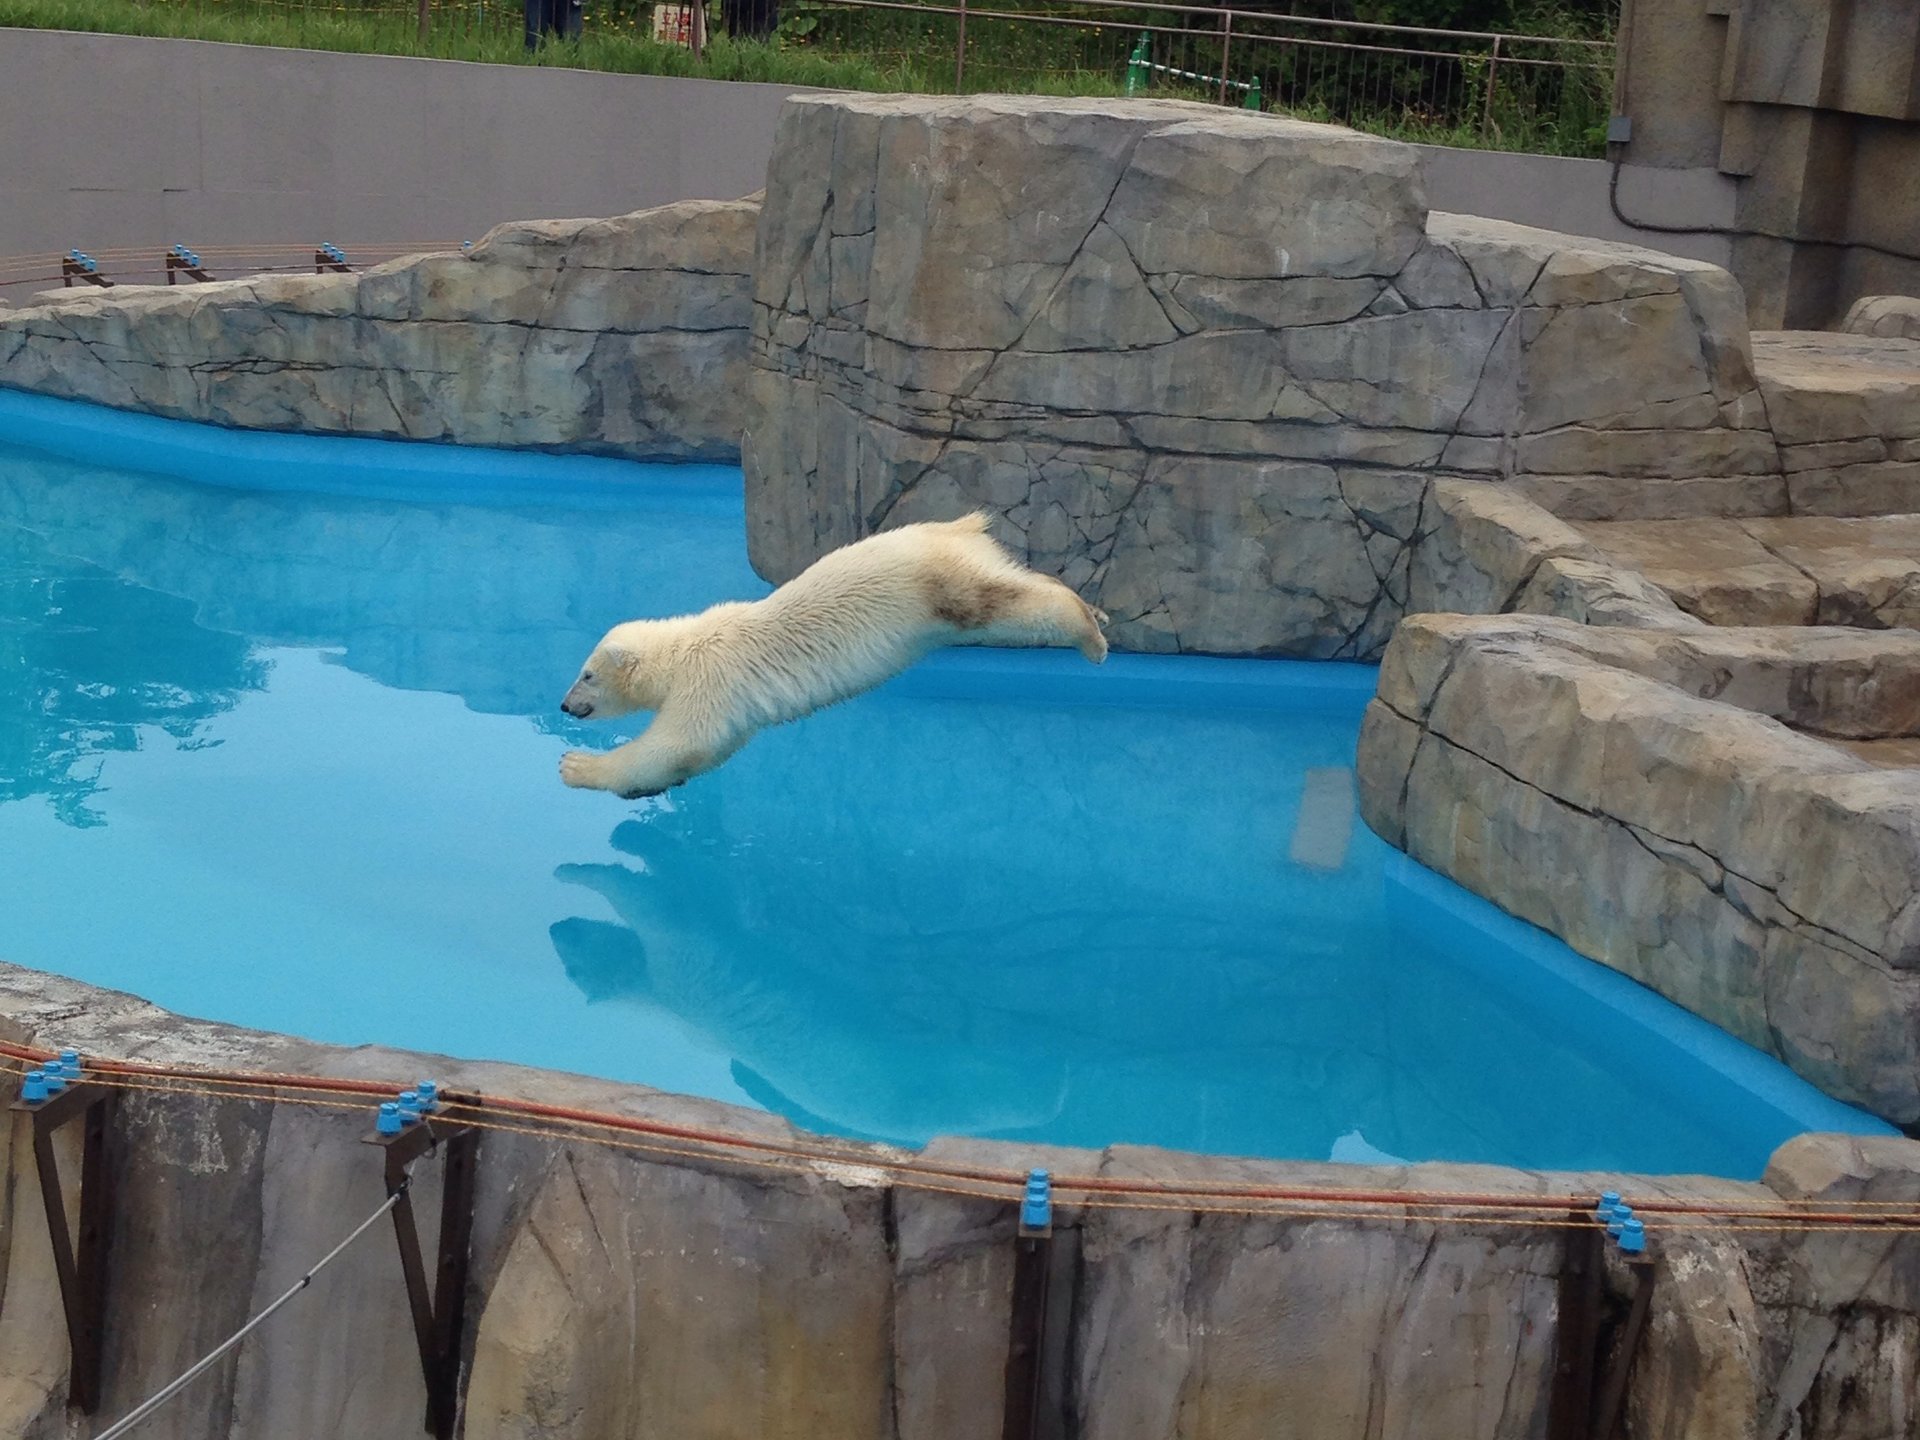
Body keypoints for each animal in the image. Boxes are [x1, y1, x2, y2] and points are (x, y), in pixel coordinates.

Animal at [556, 514, 1113, 802]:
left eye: (586, 674)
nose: (563, 705)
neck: (686, 646)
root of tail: (958, 525)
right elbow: (701, 753)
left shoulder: (711, 679)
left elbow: (677, 744)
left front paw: (577, 766)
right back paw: (1096, 610)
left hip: (934, 589)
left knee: (1002, 608)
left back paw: (1090, 634)